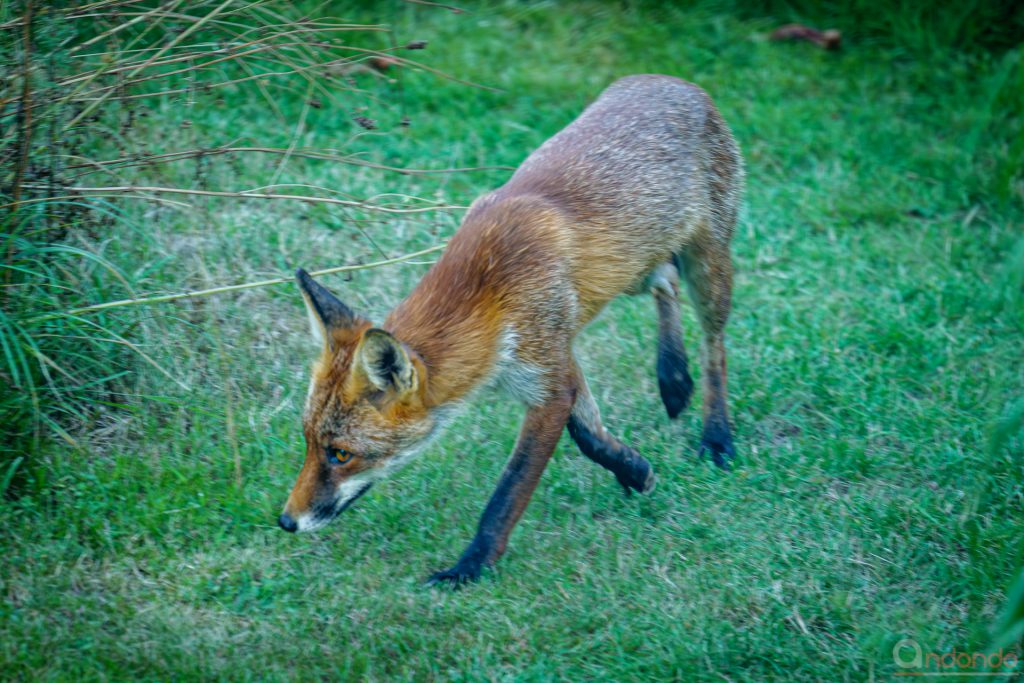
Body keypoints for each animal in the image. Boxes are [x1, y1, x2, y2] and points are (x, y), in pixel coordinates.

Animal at [280, 76, 745, 589]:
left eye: (341, 454)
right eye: (307, 441)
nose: (285, 521)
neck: (489, 293)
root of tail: (672, 81)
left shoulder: (548, 374)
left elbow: (509, 491)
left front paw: (469, 566)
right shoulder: (557, 349)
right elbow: (588, 433)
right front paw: (634, 469)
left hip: (709, 266)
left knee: (714, 346)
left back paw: (716, 435)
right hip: (632, 268)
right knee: (665, 279)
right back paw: (674, 379)